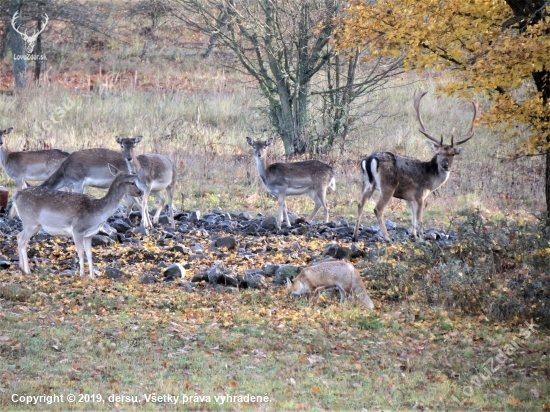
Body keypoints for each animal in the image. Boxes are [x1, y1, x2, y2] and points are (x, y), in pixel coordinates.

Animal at [13, 166, 142, 278]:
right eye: (132, 182)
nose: (140, 192)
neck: (96, 214)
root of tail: (16, 196)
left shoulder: (89, 235)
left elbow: (90, 254)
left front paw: (92, 277)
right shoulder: (77, 229)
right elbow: (80, 252)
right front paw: (82, 275)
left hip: (34, 225)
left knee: (19, 236)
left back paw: (21, 267)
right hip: (30, 222)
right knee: (23, 240)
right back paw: (27, 270)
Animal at [354, 91, 478, 241]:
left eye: (453, 154)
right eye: (438, 153)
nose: (445, 165)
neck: (431, 181)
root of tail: (370, 159)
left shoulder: (409, 198)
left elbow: (412, 216)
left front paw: (413, 235)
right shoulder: (420, 195)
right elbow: (419, 220)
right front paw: (421, 239)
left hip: (367, 183)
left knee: (360, 204)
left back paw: (354, 235)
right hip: (387, 186)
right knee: (378, 209)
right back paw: (387, 238)